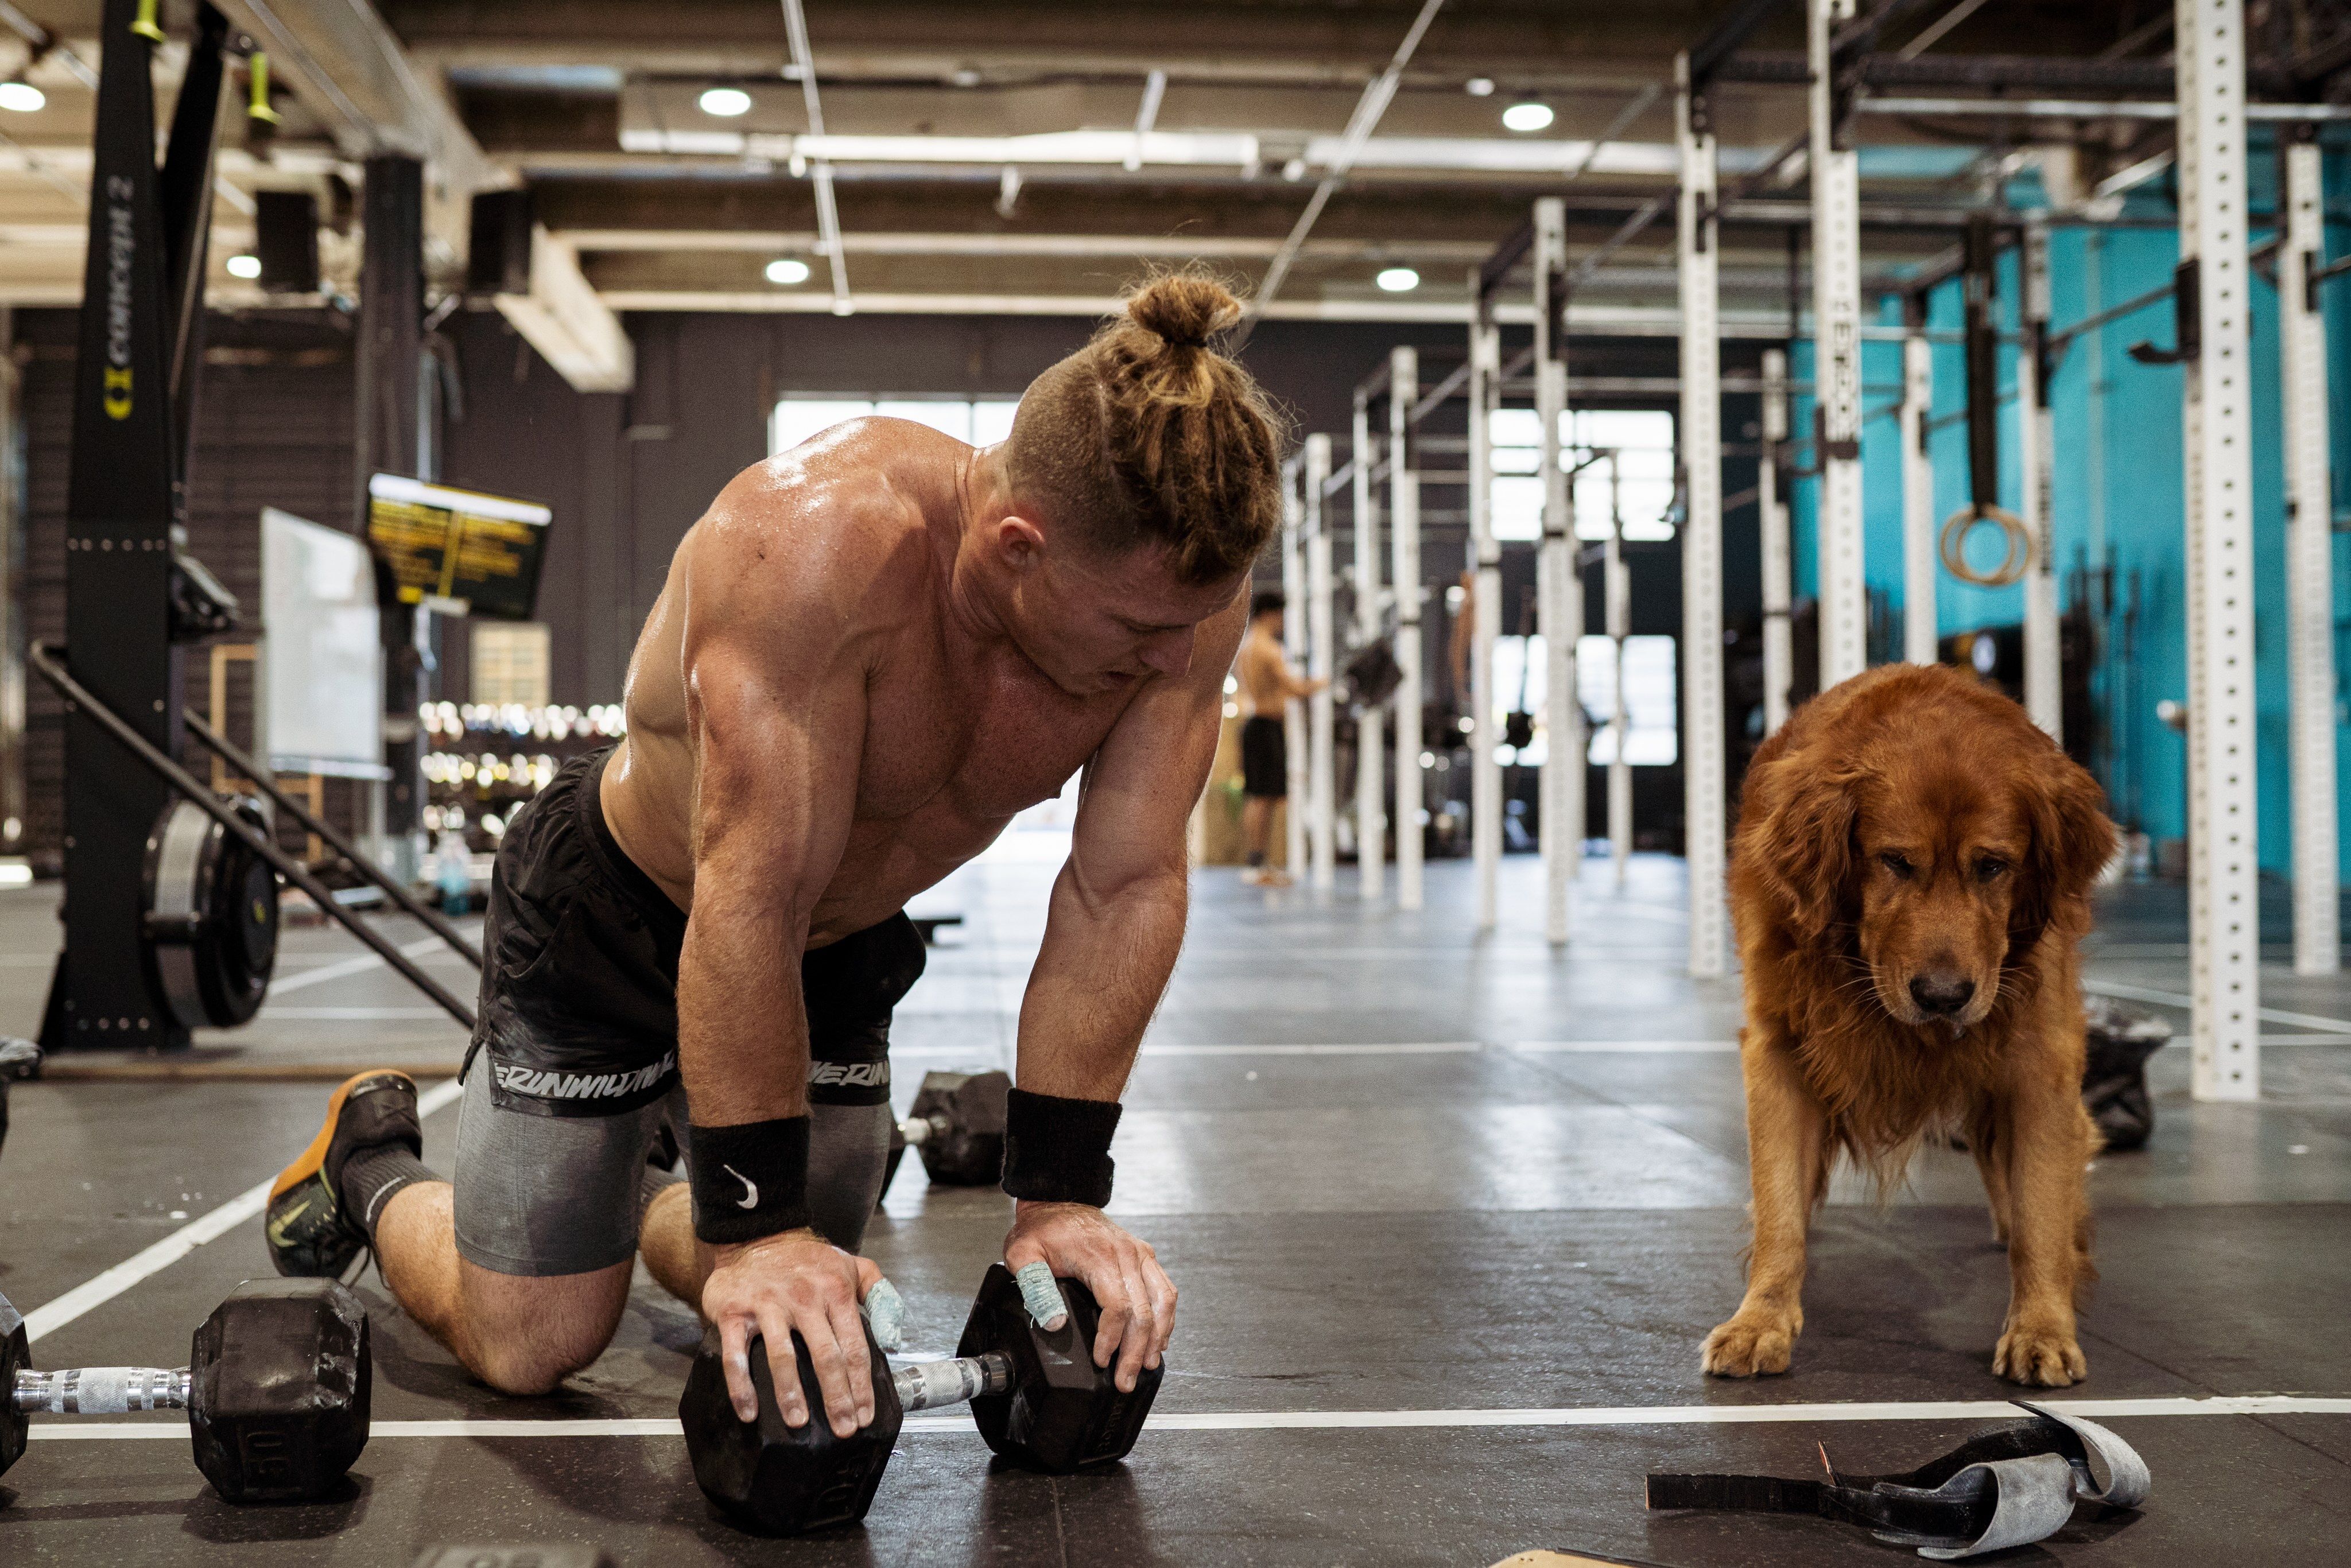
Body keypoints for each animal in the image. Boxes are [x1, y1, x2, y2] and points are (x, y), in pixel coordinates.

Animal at [1711, 663, 2116, 1382]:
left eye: (1992, 865)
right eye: (1895, 861)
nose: (1942, 996)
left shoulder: (2040, 1059)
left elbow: (2040, 1213)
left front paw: (2041, 1326)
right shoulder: (1779, 1048)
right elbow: (1779, 1208)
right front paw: (1760, 1319)